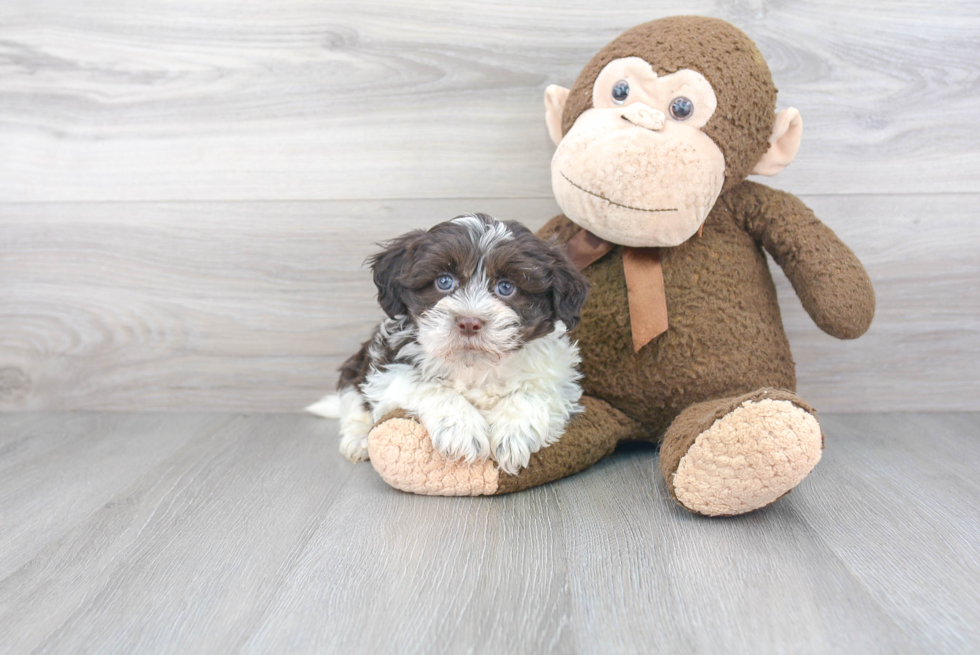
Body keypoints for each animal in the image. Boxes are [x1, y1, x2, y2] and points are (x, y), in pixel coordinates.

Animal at [310, 213, 588, 474]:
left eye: (506, 287)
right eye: (444, 281)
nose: (469, 322)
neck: (474, 365)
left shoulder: (558, 375)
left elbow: (534, 391)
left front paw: (514, 433)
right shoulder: (389, 368)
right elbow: (429, 386)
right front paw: (462, 428)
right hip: (357, 367)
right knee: (353, 402)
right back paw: (358, 439)